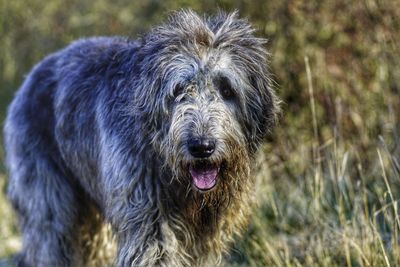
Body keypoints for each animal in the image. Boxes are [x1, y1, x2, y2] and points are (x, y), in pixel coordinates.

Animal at [3, 9, 278, 267]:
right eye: (178, 90)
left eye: (227, 89)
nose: (201, 147)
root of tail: (33, 74)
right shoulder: (149, 220)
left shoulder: (207, 236)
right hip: (48, 201)